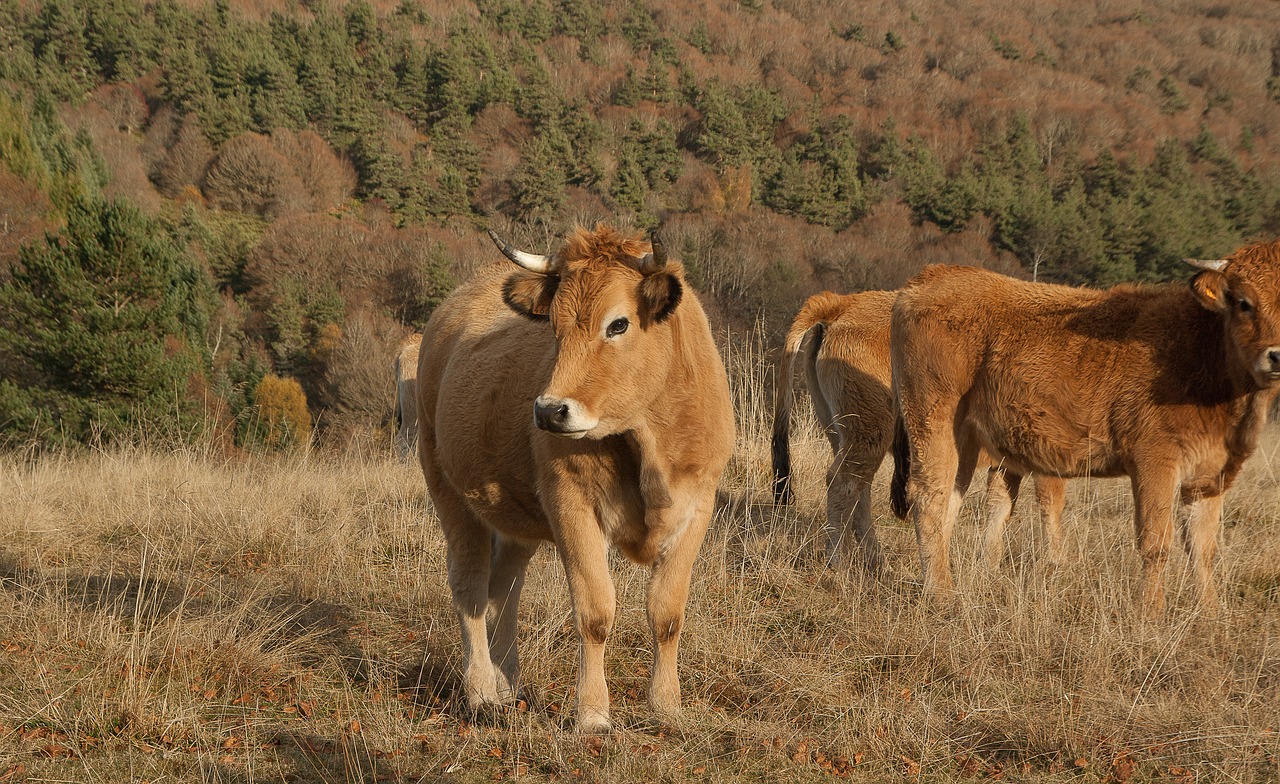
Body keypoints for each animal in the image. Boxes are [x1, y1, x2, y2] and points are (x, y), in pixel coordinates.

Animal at [409, 224, 732, 732]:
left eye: (618, 324)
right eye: (554, 328)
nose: (548, 410)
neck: (648, 441)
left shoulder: (697, 506)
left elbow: (667, 613)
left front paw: (666, 706)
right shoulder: (572, 504)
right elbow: (595, 612)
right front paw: (593, 714)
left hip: (514, 513)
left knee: (505, 589)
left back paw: (508, 685)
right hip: (447, 487)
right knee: (471, 587)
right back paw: (481, 691)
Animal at [768, 290, 1070, 573]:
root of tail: (842, 303)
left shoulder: (1005, 463)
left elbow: (999, 507)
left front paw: (989, 566)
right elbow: (1050, 506)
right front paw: (1055, 563)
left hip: (844, 434)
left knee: (859, 492)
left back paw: (877, 562)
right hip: (869, 433)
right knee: (842, 484)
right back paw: (839, 562)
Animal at [890, 238, 1280, 612]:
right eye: (1244, 303)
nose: (1276, 355)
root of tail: (934, 275)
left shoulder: (1209, 477)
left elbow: (1203, 550)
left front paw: (1210, 615)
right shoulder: (1154, 462)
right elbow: (1155, 542)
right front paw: (1150, 614)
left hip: (966, 440)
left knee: (949, 502)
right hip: (933, 420)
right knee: (929, 499)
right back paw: (941, 596)